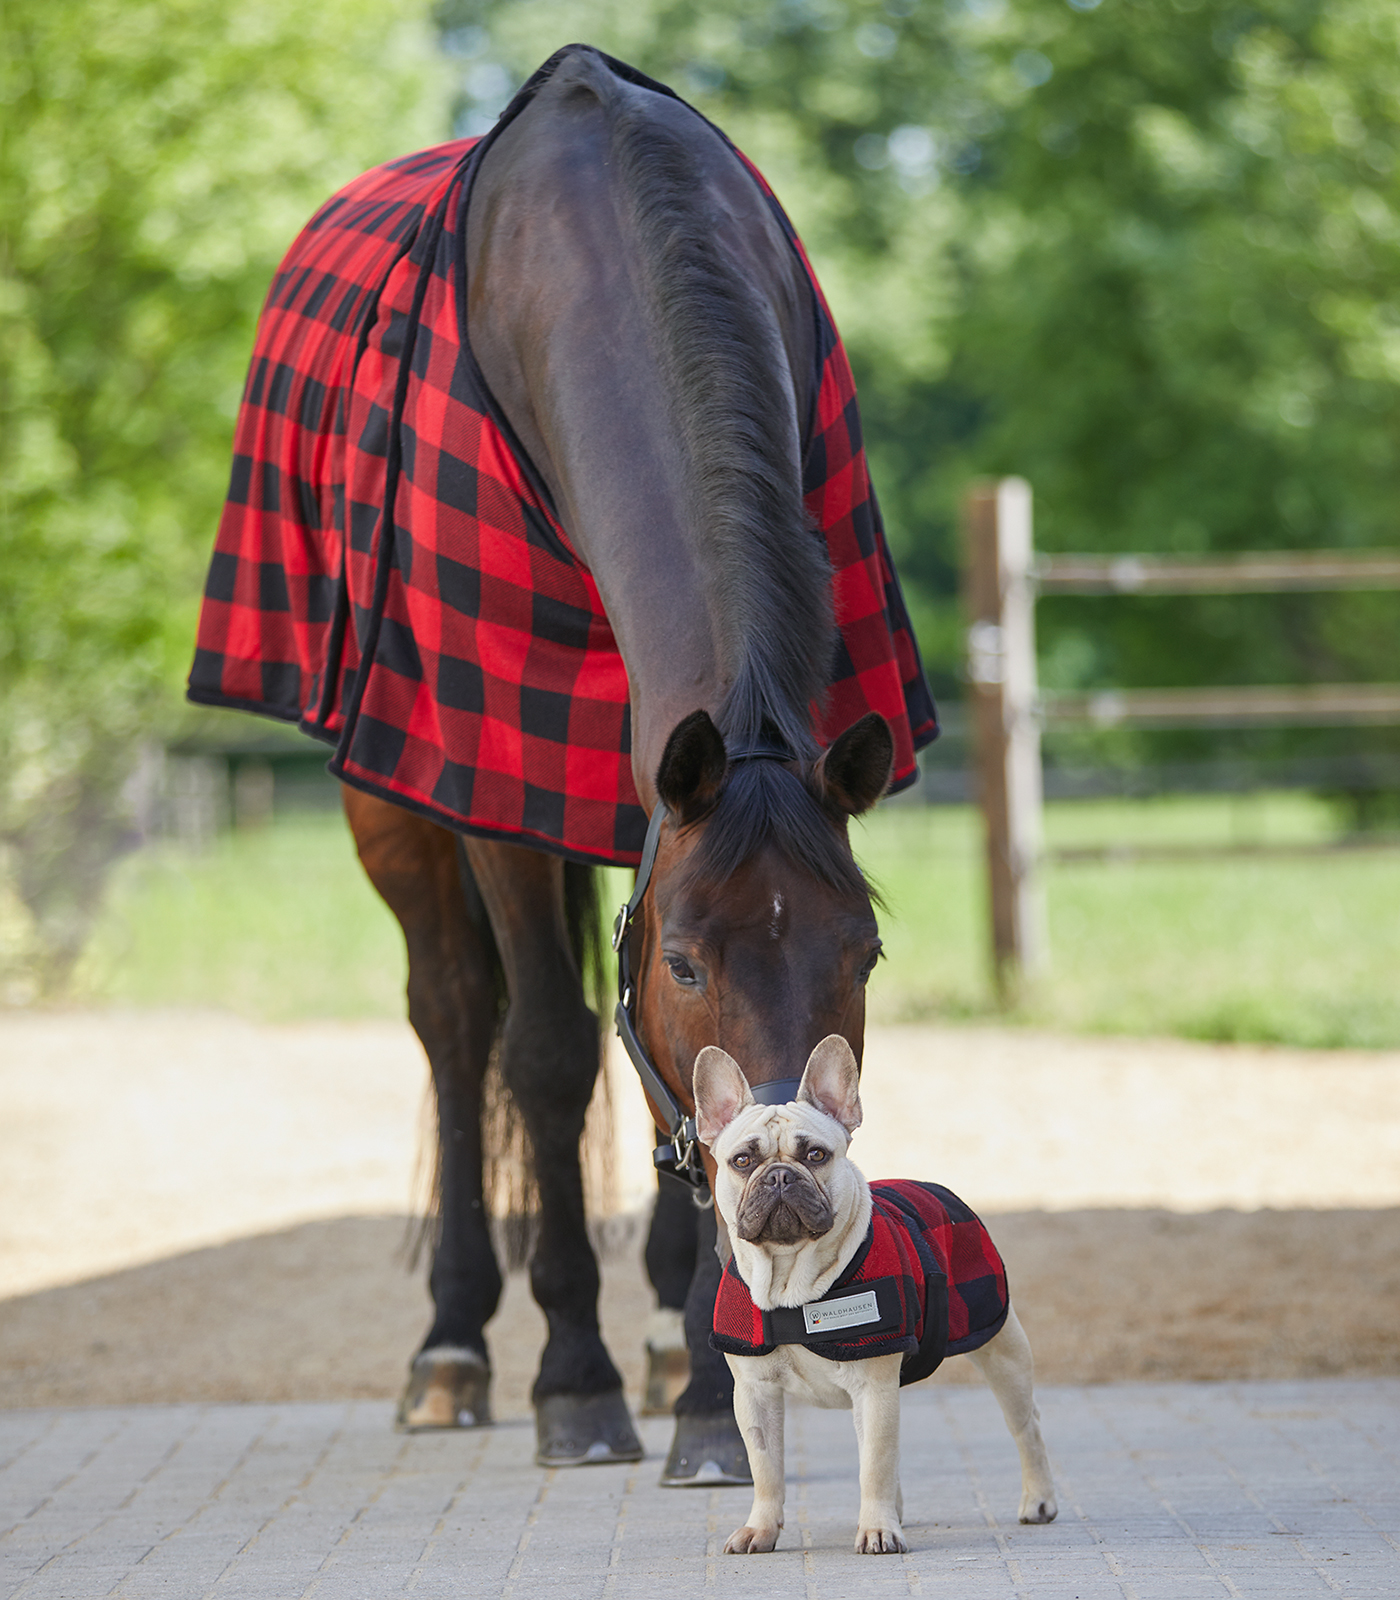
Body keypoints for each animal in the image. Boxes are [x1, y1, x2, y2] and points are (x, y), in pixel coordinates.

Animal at [183, 40, 928, 1484]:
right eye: (686, 961)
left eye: (863, 953)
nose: (788, 1174)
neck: (607, 255)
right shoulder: (493, 785)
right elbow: (544, 1051)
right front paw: (573, 1382)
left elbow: (661, 1088)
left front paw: (704, 1380)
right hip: (393, 805)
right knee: (453, 1017)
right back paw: (455, 1347)